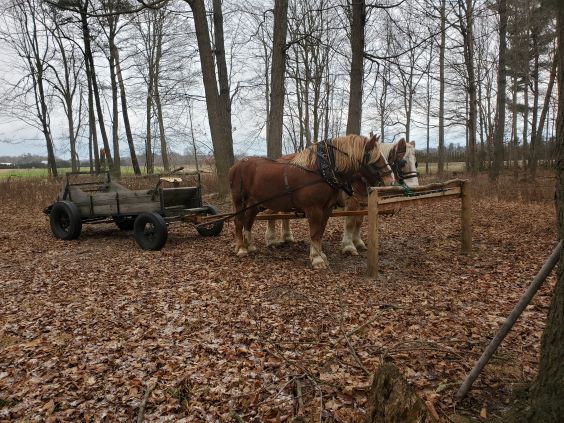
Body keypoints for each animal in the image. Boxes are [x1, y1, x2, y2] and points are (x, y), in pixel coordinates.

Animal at [228, 134, 395, 269]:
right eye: (375, 158)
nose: (390, 180)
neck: (320, 170)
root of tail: (237, 164)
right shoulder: (314, 209)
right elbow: (315, 232)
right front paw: (316, 259)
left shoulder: (327, 209)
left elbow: (320, 232)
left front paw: (321, 254)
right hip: (239, 200)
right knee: (238, 221)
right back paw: (241, 249)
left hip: (253, 203)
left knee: (248, 222)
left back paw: (250, 246)